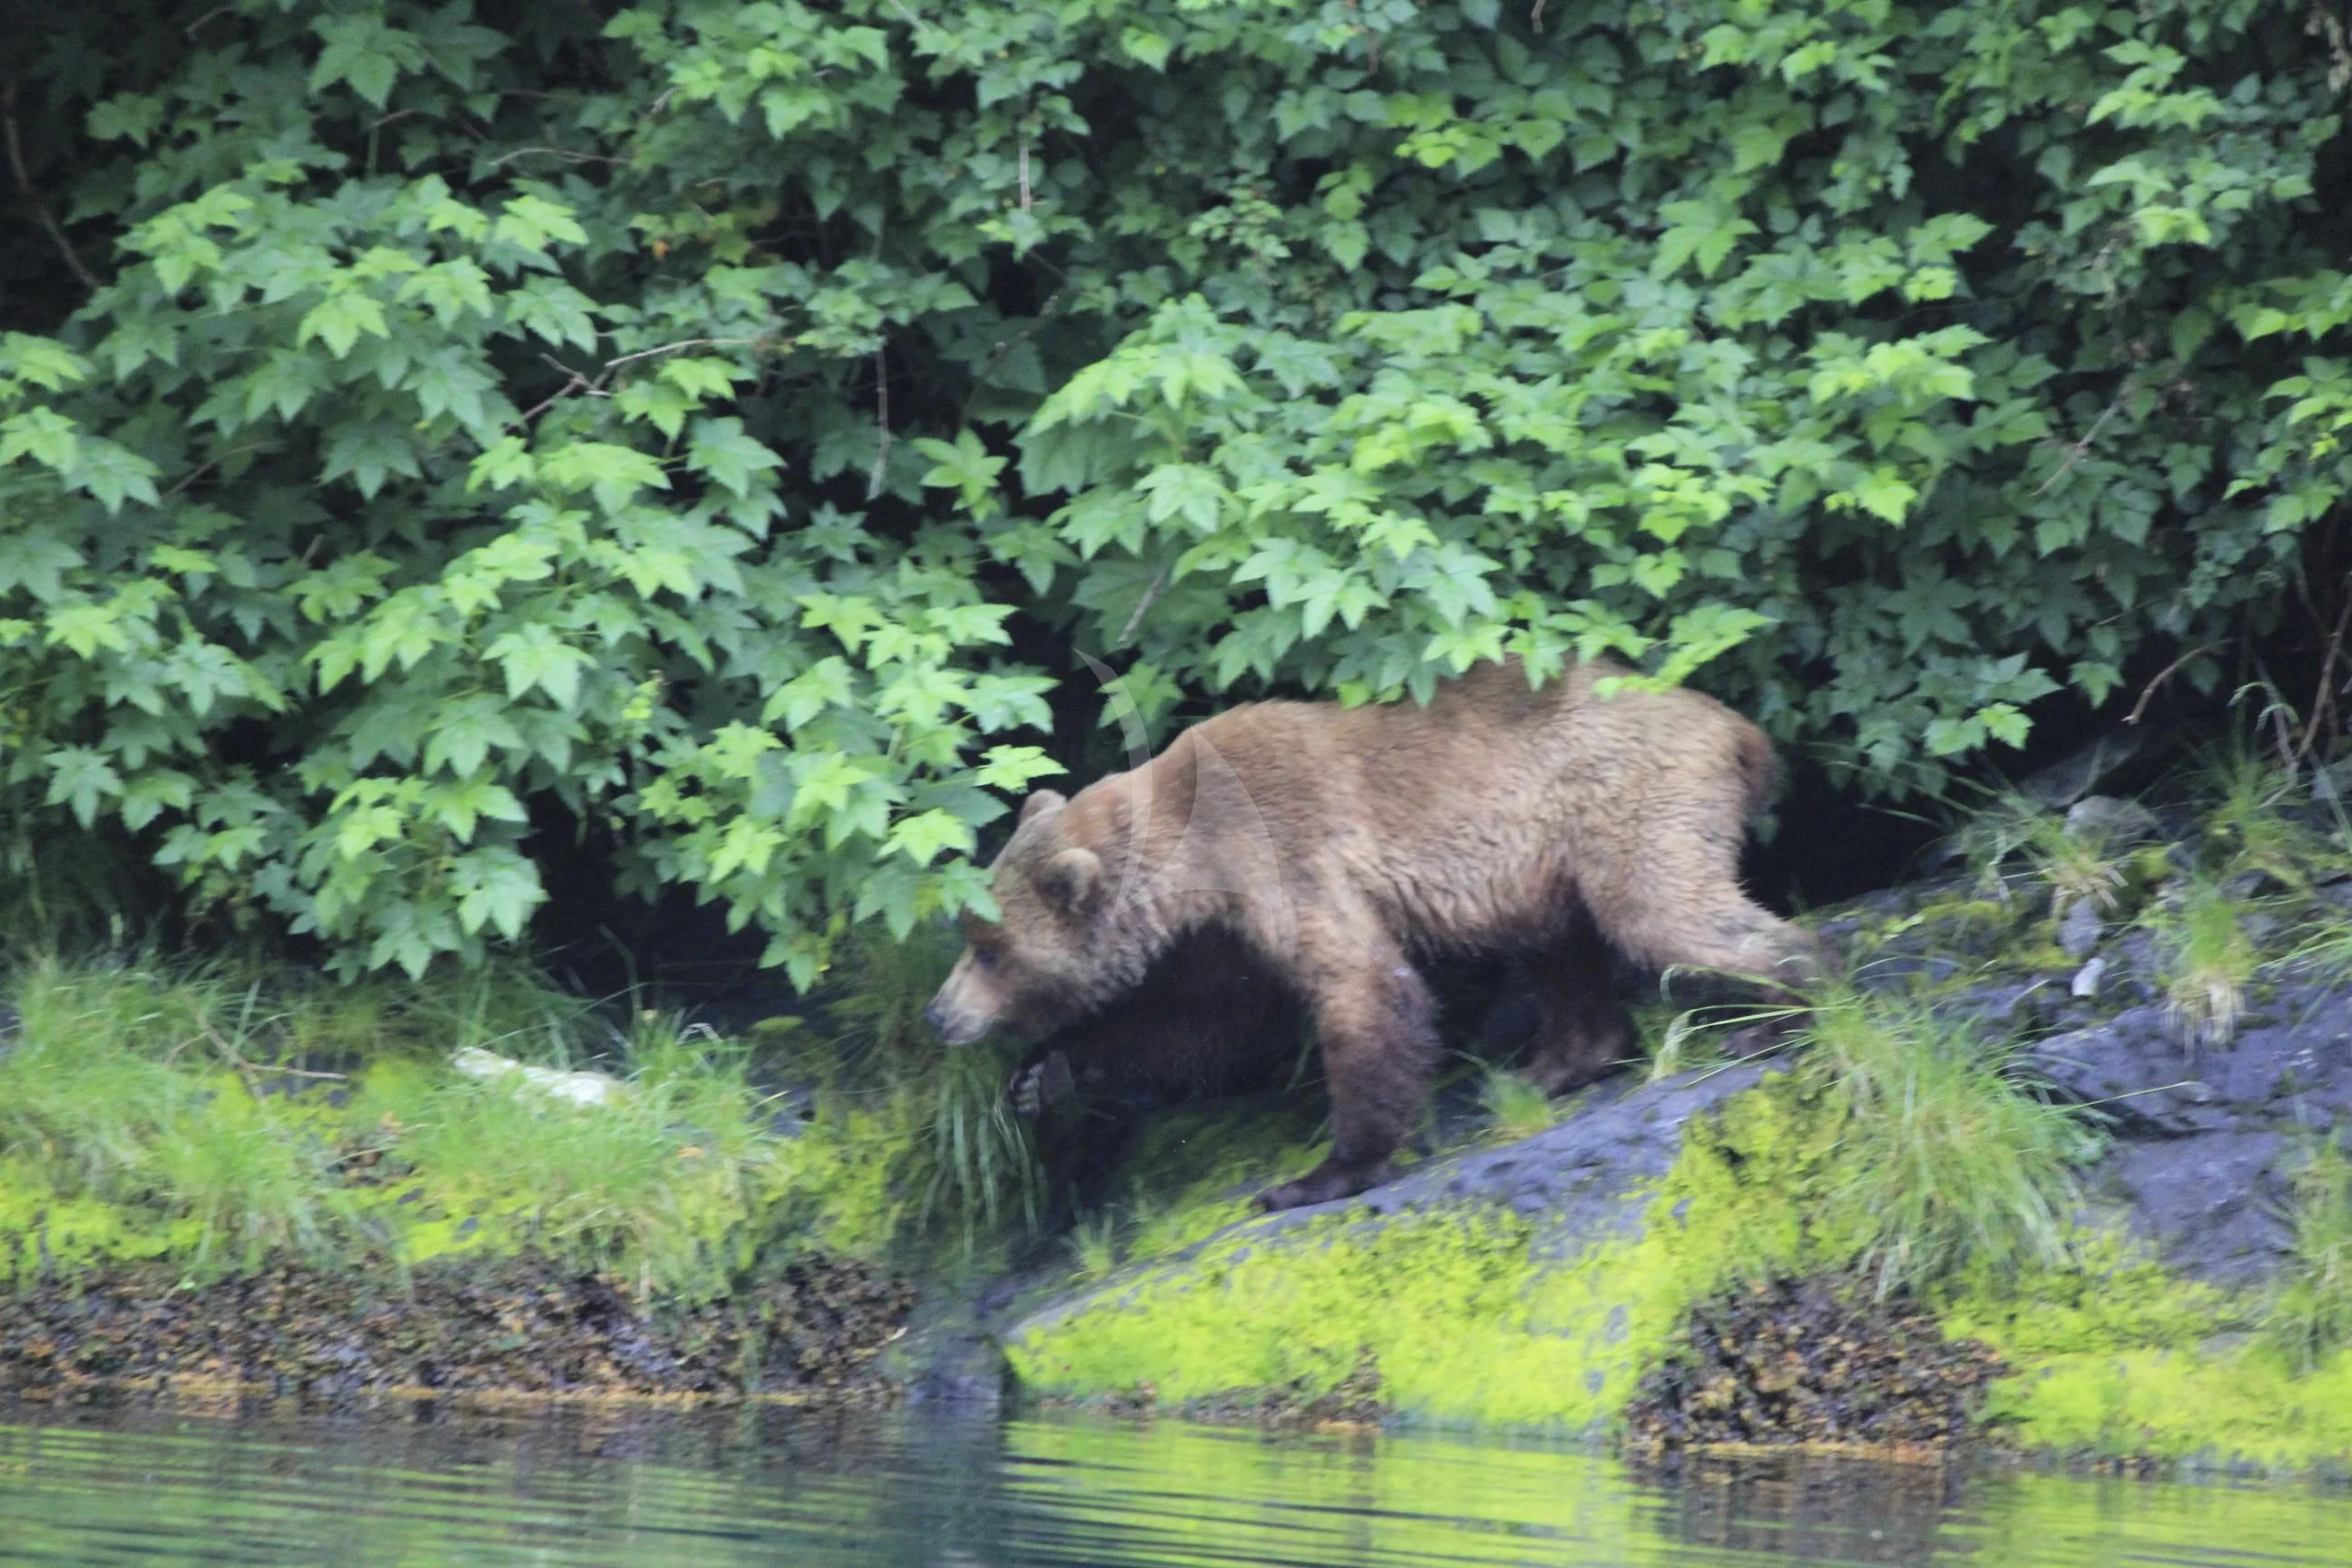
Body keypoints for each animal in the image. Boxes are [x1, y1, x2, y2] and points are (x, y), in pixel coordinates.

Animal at [924, 655, 1820, 1212]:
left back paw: (1783, 1007)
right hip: (1547, 858)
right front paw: (1045, 1074)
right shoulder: (1222, 931)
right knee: (1565, 947)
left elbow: (1361, 990)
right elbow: (1209, 1020)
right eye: (967, 934)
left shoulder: (1285, 855)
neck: (1189, 855)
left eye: (991, 950)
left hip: (1623, 799)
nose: (938, 1013)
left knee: (1663, 907)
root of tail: (1737, 729)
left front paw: (1317, 1174)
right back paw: (1554, 1063)